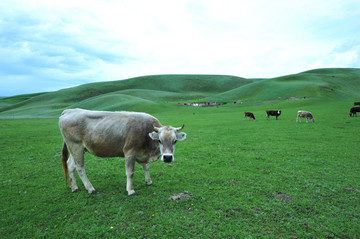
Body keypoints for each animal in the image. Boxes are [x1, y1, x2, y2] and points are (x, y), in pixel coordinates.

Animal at [58, 109, 186, 195]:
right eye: (159, 140)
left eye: (175, 141)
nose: (168, 157)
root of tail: (69, 111)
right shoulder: (130, 152)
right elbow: (130, 172)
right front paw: (130, 190)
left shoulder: (142, 154)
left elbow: (146, 167)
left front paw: (148, 181)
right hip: (76, 146)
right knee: (80, 167)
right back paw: (90, 188)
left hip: (75, 148)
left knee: (70, 165)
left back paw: (74, 187)